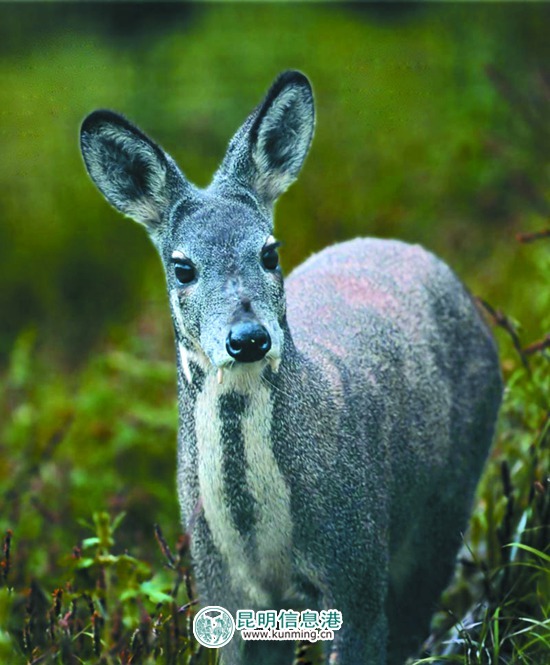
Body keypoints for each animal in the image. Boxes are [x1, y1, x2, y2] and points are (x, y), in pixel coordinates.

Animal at [80, 70, 506, 660]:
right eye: (182, 267)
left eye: (270, 252)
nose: (248, 338)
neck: (258, 539)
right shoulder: (221, 587)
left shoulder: (357, 563)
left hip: (449, 497)